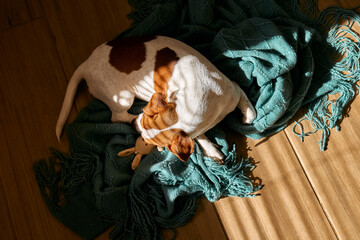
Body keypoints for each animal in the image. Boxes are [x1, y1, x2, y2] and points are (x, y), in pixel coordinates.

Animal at [55, 35, 256, 163]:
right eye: (144, 114)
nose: (134, 126)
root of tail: (86, 64)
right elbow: (200, 136)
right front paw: (211, 150)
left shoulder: (233, 89)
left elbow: (248, 108)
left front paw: (248, 114)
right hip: (124, 98)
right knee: (117, 116)